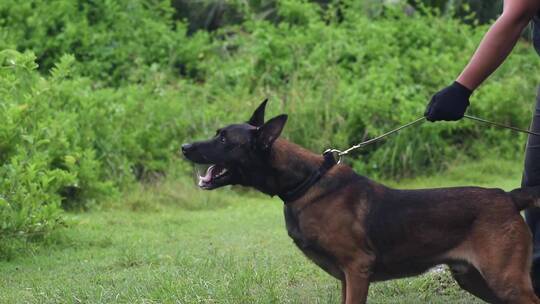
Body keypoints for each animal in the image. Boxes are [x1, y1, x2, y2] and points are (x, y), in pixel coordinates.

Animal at [181, 100, 540, 304]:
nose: (184, 147)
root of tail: (508, 197)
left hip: (504, 280)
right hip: (475, 279)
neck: (307, 181)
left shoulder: (357, 268)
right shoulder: (345, 277)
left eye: (223, 139)